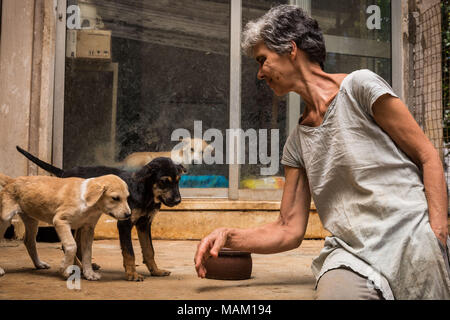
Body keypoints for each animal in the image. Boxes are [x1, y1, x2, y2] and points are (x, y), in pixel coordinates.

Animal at [0, 172, 130, 280]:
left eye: (127, 197)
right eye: (115, 198)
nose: (129, 215)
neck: (88, 203)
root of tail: (12, 181)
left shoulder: (88, 228)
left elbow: (87, 253)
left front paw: (89, 273)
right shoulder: (60, 221)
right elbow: (72, 246)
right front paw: (65, 269)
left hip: (31, 220)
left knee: (29, 241)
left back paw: (39, 264)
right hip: (5, 219)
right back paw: (1, 270)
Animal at [15, 146, 185, 282]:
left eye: (178, 180)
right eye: (163, 181)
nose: (178, 200)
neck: (146, 193)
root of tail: (64, 172)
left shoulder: (144, 223)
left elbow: (150, 250)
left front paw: (156, 271)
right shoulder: (124, 223)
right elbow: (129, 252)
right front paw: (132, 275)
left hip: (82, 219)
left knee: (78, 243)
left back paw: (87, 265)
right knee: (68, 245)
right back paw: (80, 268)